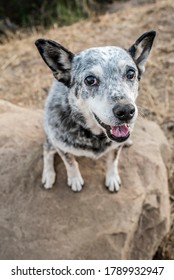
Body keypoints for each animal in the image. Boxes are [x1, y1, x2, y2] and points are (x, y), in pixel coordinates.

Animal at [35, 30, 156, 192]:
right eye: (90, 79)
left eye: (131, 73)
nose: (126, 111)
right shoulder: (61, 146)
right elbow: (70, 162)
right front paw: (75, 179)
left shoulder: (116, 146)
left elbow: (113, 160)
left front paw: (112, 178)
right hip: (50, 139)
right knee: (46, 150)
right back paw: (48, 175)